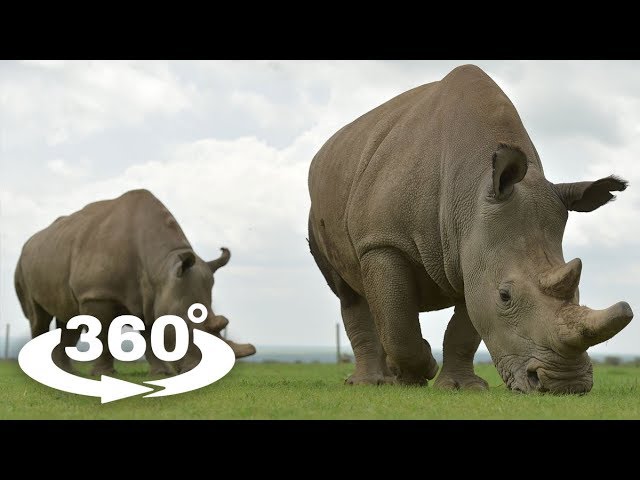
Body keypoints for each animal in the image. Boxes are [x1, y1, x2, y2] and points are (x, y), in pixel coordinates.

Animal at [15, 189, 256, 376]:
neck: (161, 267)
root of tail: (29, 242)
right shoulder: (97, 294)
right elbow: (103, 335)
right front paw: (103, 374)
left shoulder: (152, 296)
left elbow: (150, 335)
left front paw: (161, 373)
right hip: (24, 264)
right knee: (38, 319)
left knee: (68, 317)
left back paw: (66, 372)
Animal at [308, 64, 633, 394]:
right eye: (505, 296)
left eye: (579, 291)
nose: (565, 385)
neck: (472, 187)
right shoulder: (382, 241)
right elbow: (398, 318)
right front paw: (420, 370)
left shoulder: (475, 250)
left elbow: (464, 330)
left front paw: (461, 387)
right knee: (351, 295)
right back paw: (368, 383)